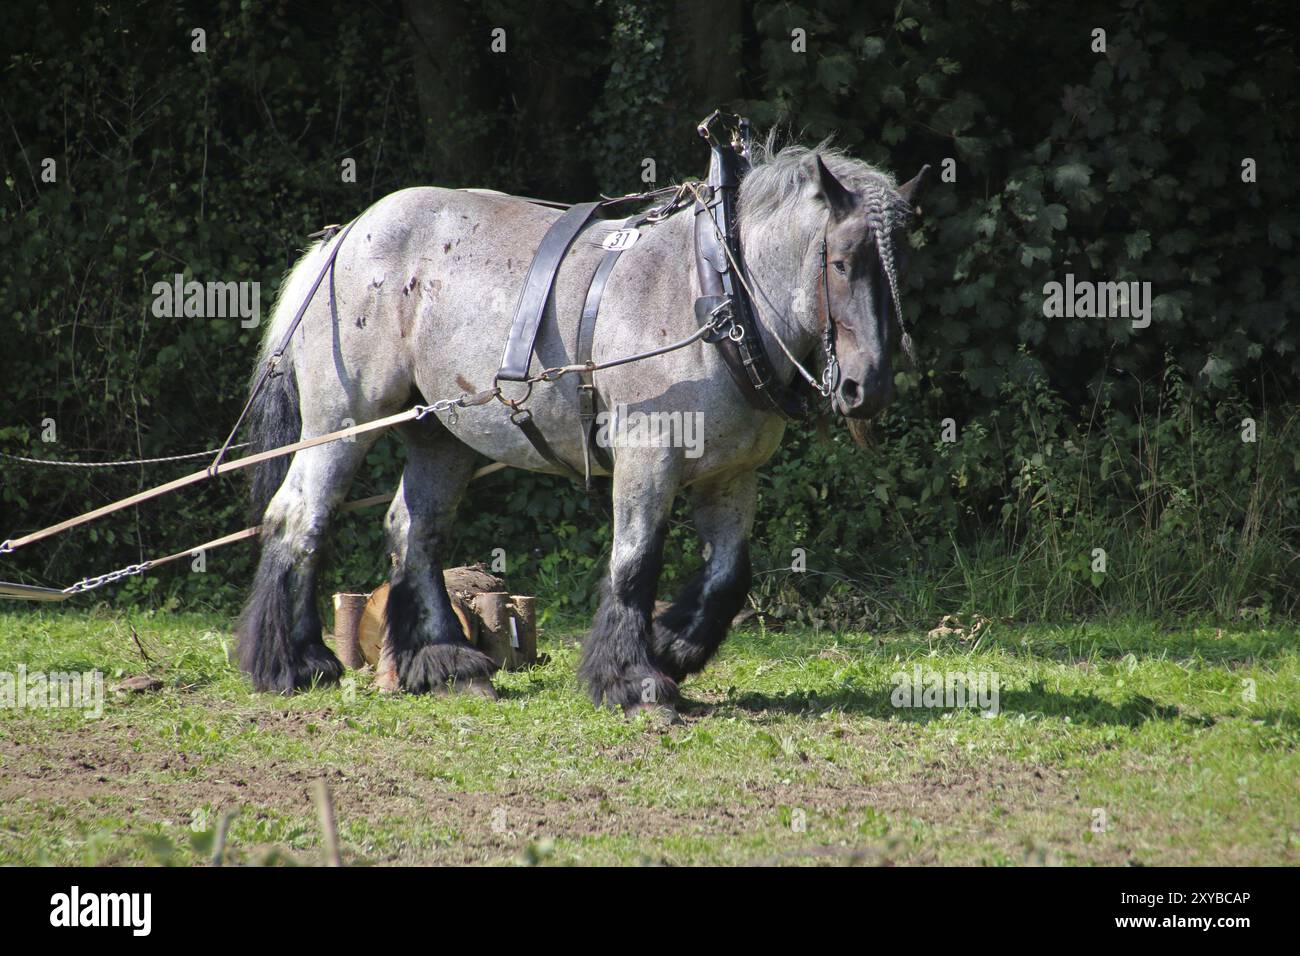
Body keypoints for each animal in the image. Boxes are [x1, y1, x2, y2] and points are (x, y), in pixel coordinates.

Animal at [237, 134, 927, 718]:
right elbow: (635, 560)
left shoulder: (733, 475)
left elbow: (730, 573)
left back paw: (447, 663)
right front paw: (633, 679)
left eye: (902, 266)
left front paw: (672, 648)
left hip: (442, 434)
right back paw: (294, 662)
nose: (868, 389)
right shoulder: (649, 456)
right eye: (842, 263)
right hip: (345, 419)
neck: (715, 297)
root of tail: (345, 236)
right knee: (300, 516)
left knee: (415, 530)